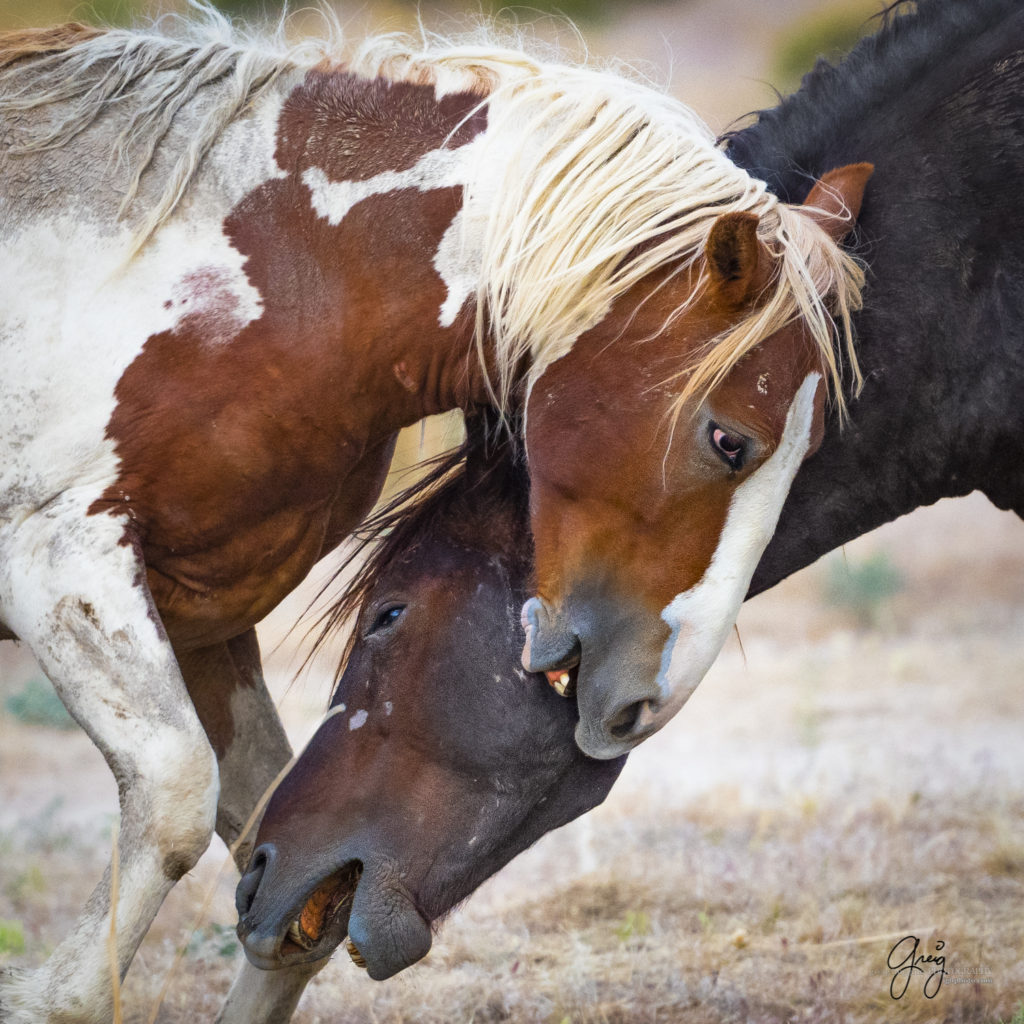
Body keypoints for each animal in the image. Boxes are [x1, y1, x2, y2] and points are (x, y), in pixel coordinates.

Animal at [0, 9, 864, 1024]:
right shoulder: (62, 560)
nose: (643, 701)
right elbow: (178, 798)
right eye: (729, 440)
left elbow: (274, 855)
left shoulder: (201, 610)